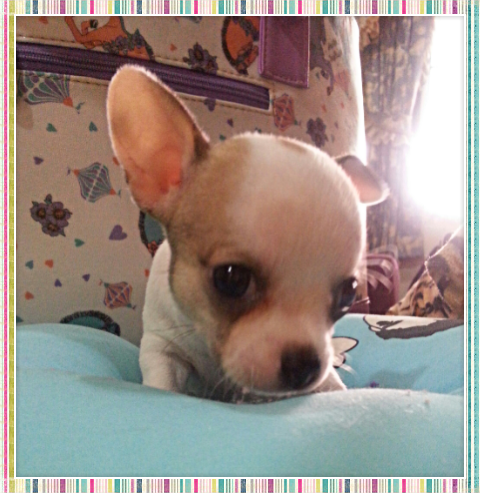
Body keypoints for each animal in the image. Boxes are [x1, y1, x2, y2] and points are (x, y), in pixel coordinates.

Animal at [106, 66, 388, 402]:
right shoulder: (161, 346)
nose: (305, 365)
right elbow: (163, 380)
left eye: (349, 294)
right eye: (232, 278)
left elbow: (330, 382)